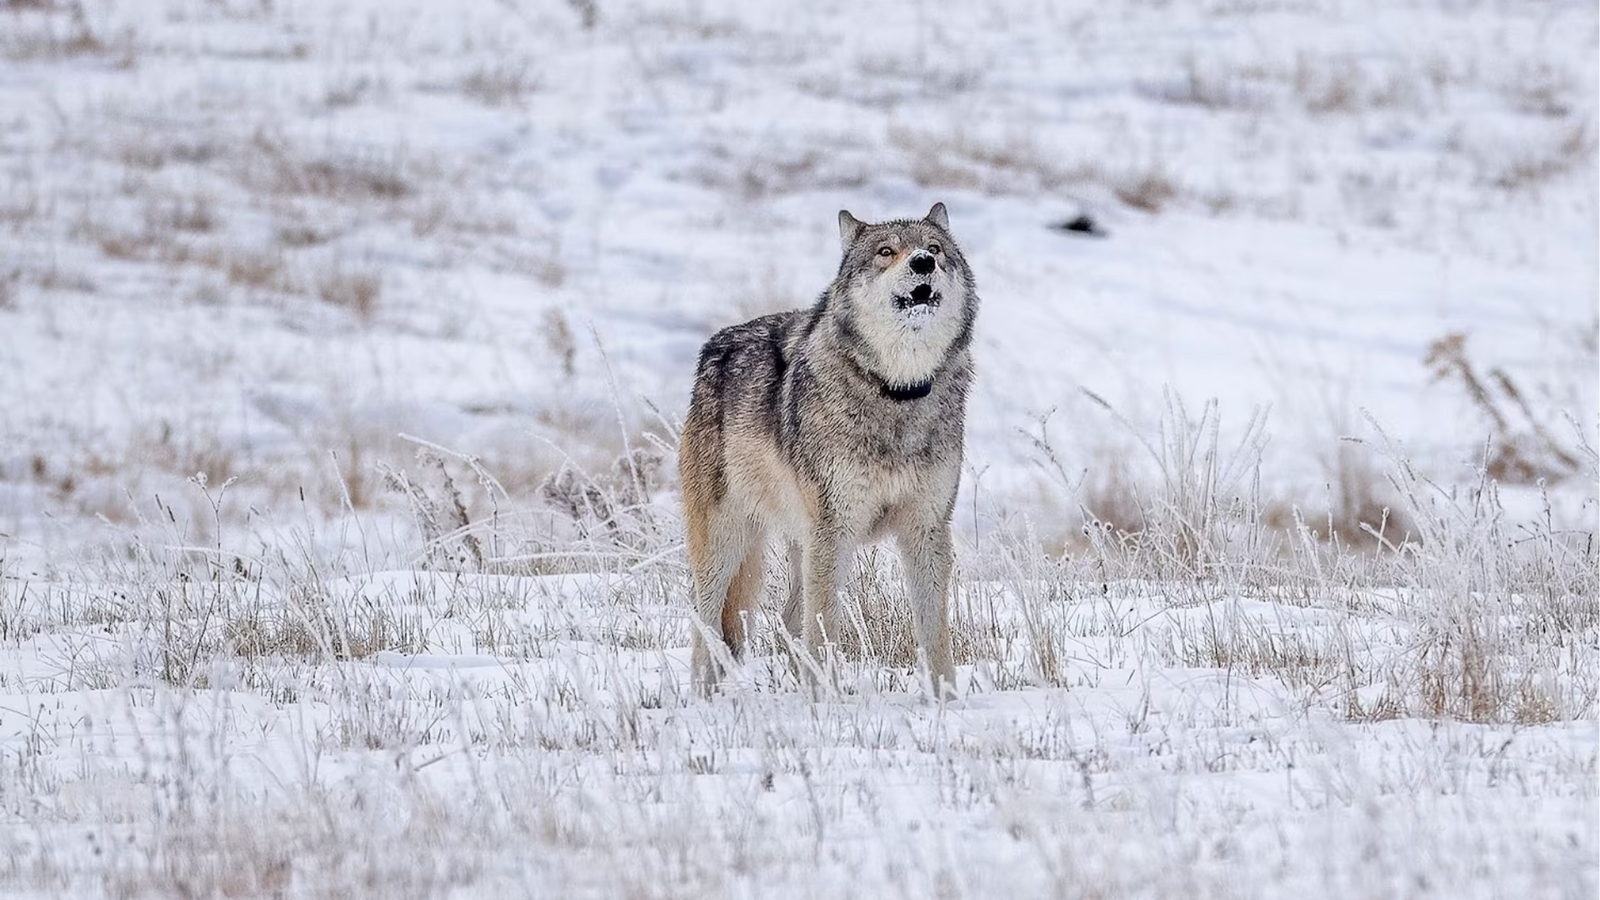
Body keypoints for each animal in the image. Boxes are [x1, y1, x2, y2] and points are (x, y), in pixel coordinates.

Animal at [679, 202, 978, 698]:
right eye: (886, 252)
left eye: (935, 249)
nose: (922, 263)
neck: (896, 392)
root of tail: (714, 347)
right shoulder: (834, 531)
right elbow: (824, 633)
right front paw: (824, 701)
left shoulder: (926, 529)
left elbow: (935, 633)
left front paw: (947, 701)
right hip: (729, 543)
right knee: (706, 626)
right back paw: (703, 698)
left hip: (801, 546)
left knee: (787, 619)